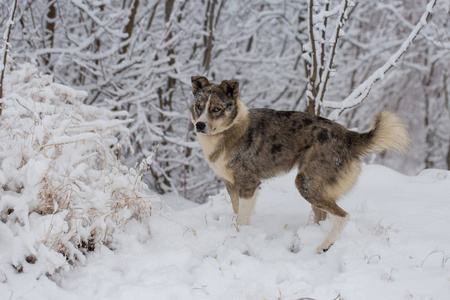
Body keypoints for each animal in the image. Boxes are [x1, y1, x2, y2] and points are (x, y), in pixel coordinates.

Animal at [188, 75, 410, 253]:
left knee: (343, 216)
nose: (200, 125)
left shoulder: (248, 184)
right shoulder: (231, 184)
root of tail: (347, 135)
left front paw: (240, 238)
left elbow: (242, 219)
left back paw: (324, 245)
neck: (230, 129)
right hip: (315, 187)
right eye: (199, 107)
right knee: (324, 215)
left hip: (306, 183)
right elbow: (237, 212)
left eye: (216, 109)